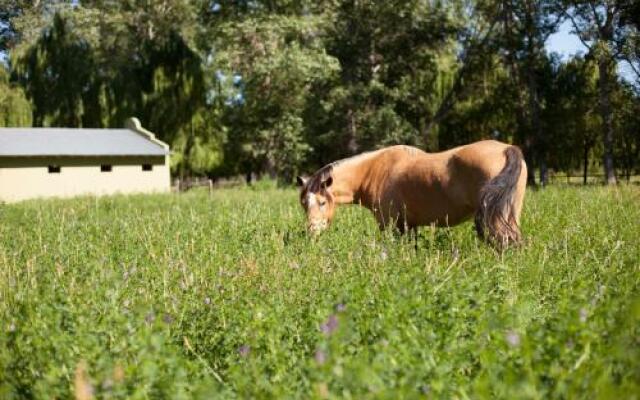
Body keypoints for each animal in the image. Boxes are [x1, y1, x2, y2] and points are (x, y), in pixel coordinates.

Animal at [298, 141, 528, 247]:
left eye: (321, 202)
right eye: (304, 204)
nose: (311, 232)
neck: (375, 169)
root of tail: (507, 149)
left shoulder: (390, 225)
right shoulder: (409, 226)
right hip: (511, 215)